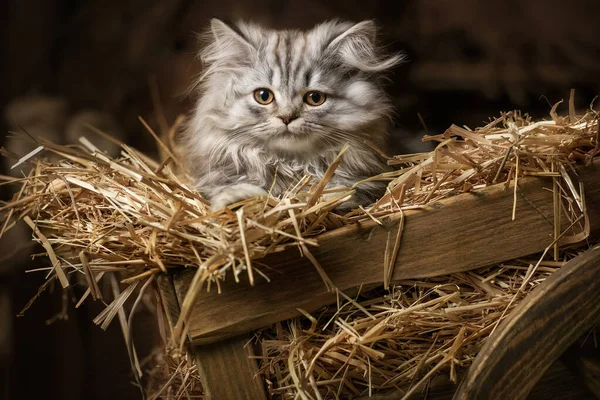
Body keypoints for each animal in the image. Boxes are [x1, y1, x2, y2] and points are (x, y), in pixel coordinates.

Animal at [180, 18, 400, 212]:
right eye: (263, 96)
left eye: (315, 98)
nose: (286, 117)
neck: (291, 164)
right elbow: (237, 188)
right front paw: (240, 202)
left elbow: (343, 190)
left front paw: (320, 198)